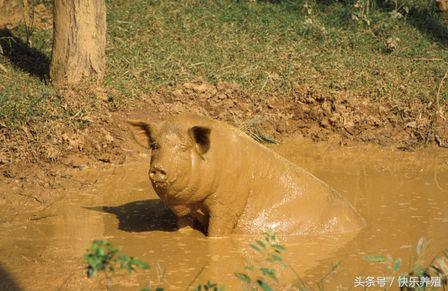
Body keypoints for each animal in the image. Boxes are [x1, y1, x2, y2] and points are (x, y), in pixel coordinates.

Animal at [129, 114, 364, 237]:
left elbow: (217, 233)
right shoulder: (185, 212)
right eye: (155, 146)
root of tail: (361, 222)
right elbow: (183, 227)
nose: (158, 169)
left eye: (184, 148)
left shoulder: (228, 204)